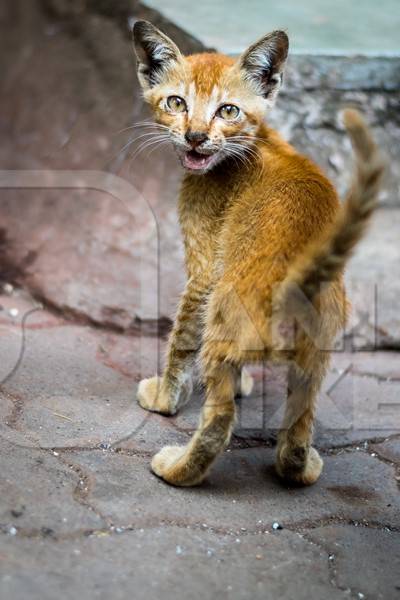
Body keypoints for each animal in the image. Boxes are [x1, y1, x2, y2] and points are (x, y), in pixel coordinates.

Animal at [133, 21, 382, 488]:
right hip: (316, 354)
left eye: (227, 111)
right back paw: (297, 468)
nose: (195, 137)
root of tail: (303, 278)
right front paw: (244, 380)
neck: (259, 140)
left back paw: (177, 469)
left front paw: (164, 397)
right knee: (301, 419)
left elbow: (181, 339)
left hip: (223, 312)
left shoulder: (204, 272)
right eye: (176, 103)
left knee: (218, 422)